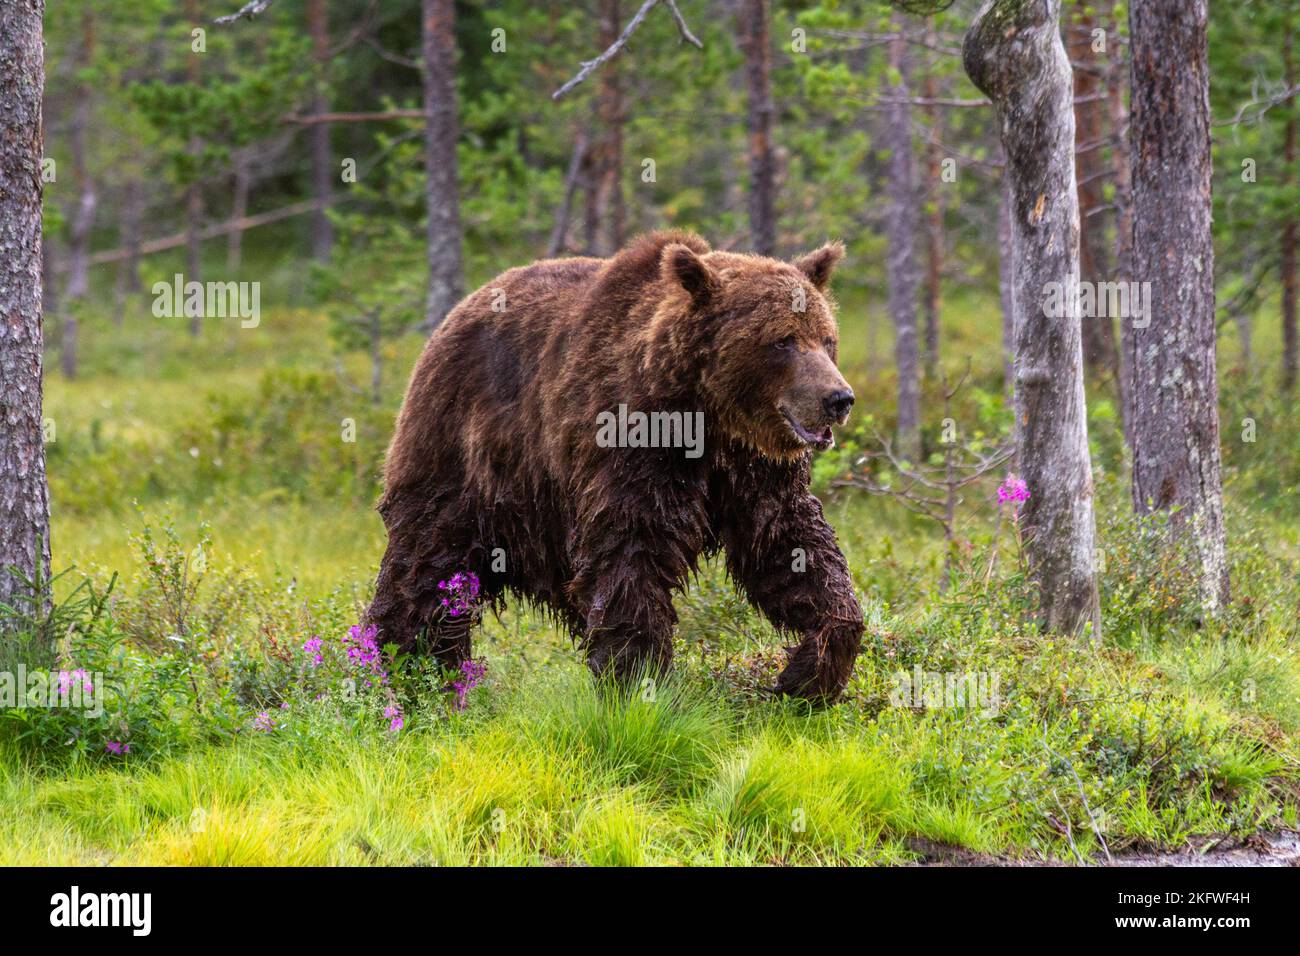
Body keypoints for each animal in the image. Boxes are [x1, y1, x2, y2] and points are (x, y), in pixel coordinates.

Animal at [369, 231, 863, 702]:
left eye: (827, 339)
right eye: (782, 340)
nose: (838, 398)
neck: (706, 419)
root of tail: (451, 317)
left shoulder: (753, 471)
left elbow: (789, 545)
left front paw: (806, 674)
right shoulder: (631, 447)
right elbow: (630, 555)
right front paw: (642, 683)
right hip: (461, 457)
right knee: (428, 565)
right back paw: (407, 667)